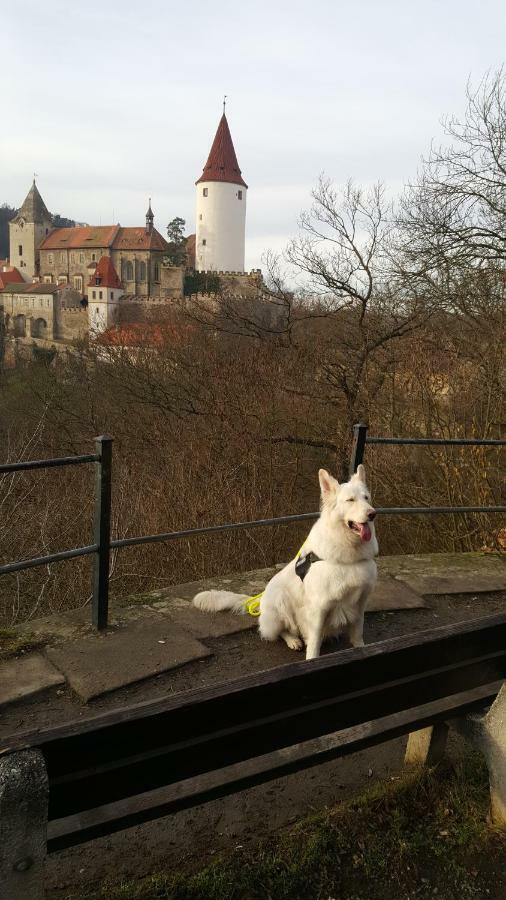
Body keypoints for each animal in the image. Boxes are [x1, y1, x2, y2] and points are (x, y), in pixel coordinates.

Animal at [194, 468, 380, 656]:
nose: (372, 514)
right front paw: (312, 658)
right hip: (280, 601)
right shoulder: (319, 608)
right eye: (350, 500)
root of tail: (259, 601)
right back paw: (293, 640)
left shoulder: (360, 602)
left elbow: (358, 631)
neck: (350, 556)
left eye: (366, 498)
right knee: (281, 632)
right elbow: (314, 642)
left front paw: (362, 649)